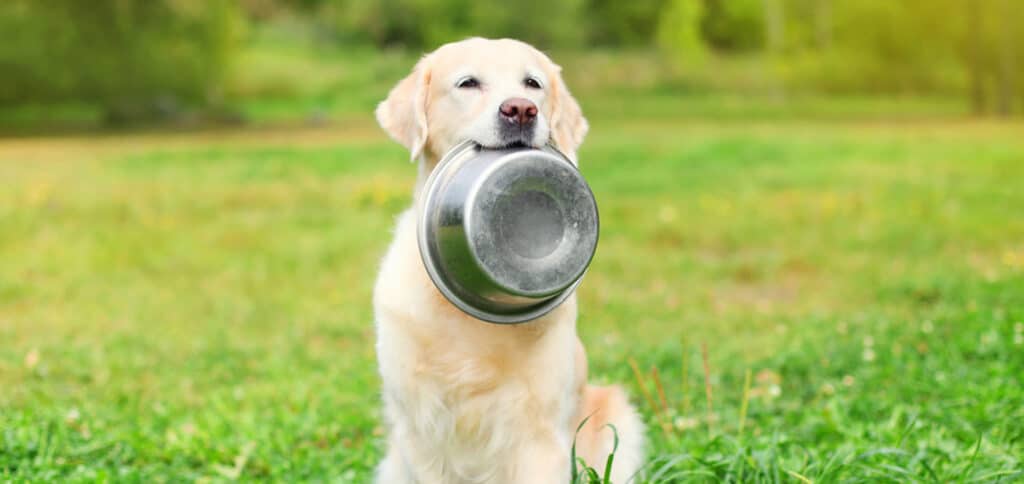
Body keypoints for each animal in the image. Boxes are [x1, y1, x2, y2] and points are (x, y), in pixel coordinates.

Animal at [372, 38, 643, 482]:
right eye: (468, 83)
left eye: (532, 83)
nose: (521, 109)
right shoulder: (421, 429)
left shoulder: (541, 431)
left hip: (615, 419)